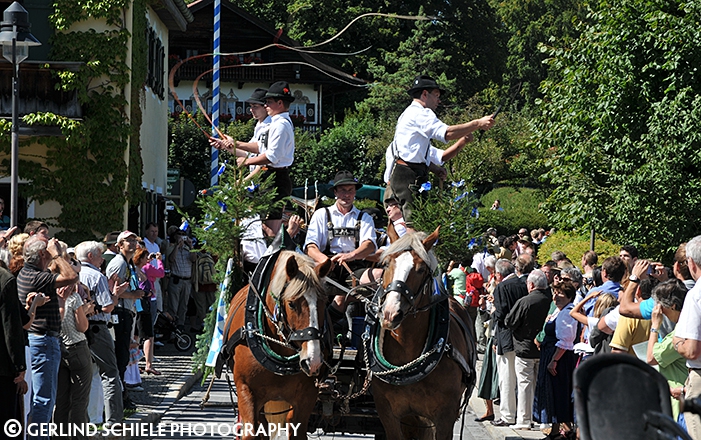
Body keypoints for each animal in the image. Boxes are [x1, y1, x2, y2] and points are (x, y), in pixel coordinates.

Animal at [224, 251, 334, 440]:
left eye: (324, 301)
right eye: (291, 303)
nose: (312, 361)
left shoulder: (307, 395)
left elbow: (297, 432)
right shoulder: (246, 390)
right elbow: (251, 432)